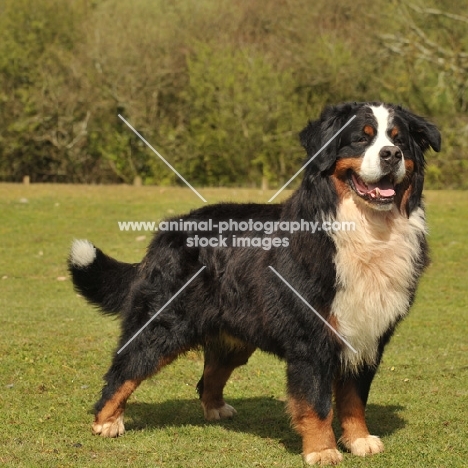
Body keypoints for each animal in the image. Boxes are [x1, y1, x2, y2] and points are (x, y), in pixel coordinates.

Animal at [68, 102, 438, 464]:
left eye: (399, 140)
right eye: (361, 138)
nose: (391, 155)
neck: (367, 230)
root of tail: (168, 229)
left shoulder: (368, 335)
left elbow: (354, 397)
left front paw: (359, 440)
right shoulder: (312, 338)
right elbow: (317, 401)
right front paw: (323, 450)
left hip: (235, 334)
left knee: (210, 375)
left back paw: (216, 408)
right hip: (162, 324)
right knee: (125, 369)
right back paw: (106, 421)